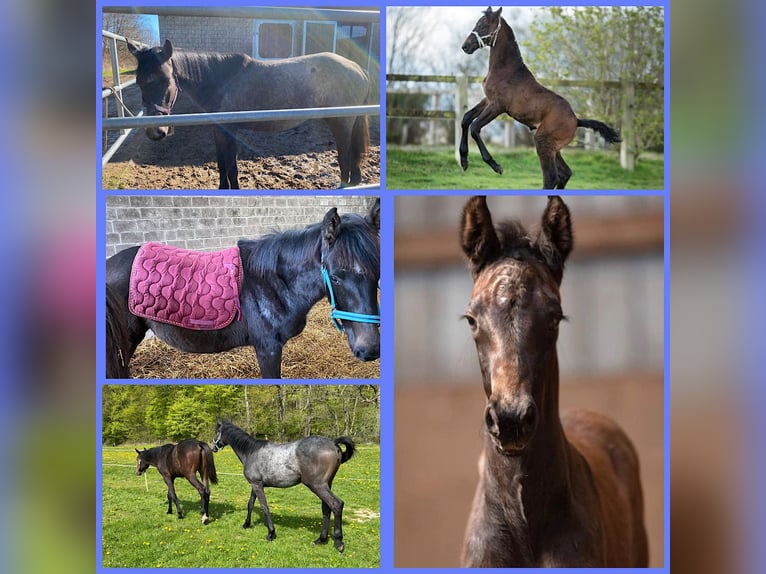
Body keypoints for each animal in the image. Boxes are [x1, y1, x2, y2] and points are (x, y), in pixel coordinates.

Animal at [127, 40, 374, 189]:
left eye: (165, 80)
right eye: (139, 81)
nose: (155, 132)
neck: (221, 80)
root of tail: (358, 68)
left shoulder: (231, 131)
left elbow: (232, 167)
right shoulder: (218, 130)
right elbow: (222, 165)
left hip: (342, 124)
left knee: (344, 158)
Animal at [210, 420, 354, 556]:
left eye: (217, 432)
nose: (213, 448)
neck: (251, 451)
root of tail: (333, 443)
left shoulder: (257, 485)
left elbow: (264, 507)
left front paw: (271, 533)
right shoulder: (255, 484)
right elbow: (250, 504)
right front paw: (246, 524)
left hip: (317, 486)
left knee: (336, 505)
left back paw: (339, 543)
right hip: (326, 485)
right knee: (326, 509)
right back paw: (321, 539)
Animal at [462, 6, 624, 190]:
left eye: (482, 25)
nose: (465, 46)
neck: (506, 70)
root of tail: (576, 120)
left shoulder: (498, 106)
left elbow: (475, 127)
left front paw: (496, 166)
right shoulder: (488, 100)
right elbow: (466, 118)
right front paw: (464, 161)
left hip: (542, 142)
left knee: (551, 177)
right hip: (554, 148)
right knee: (565, 173)